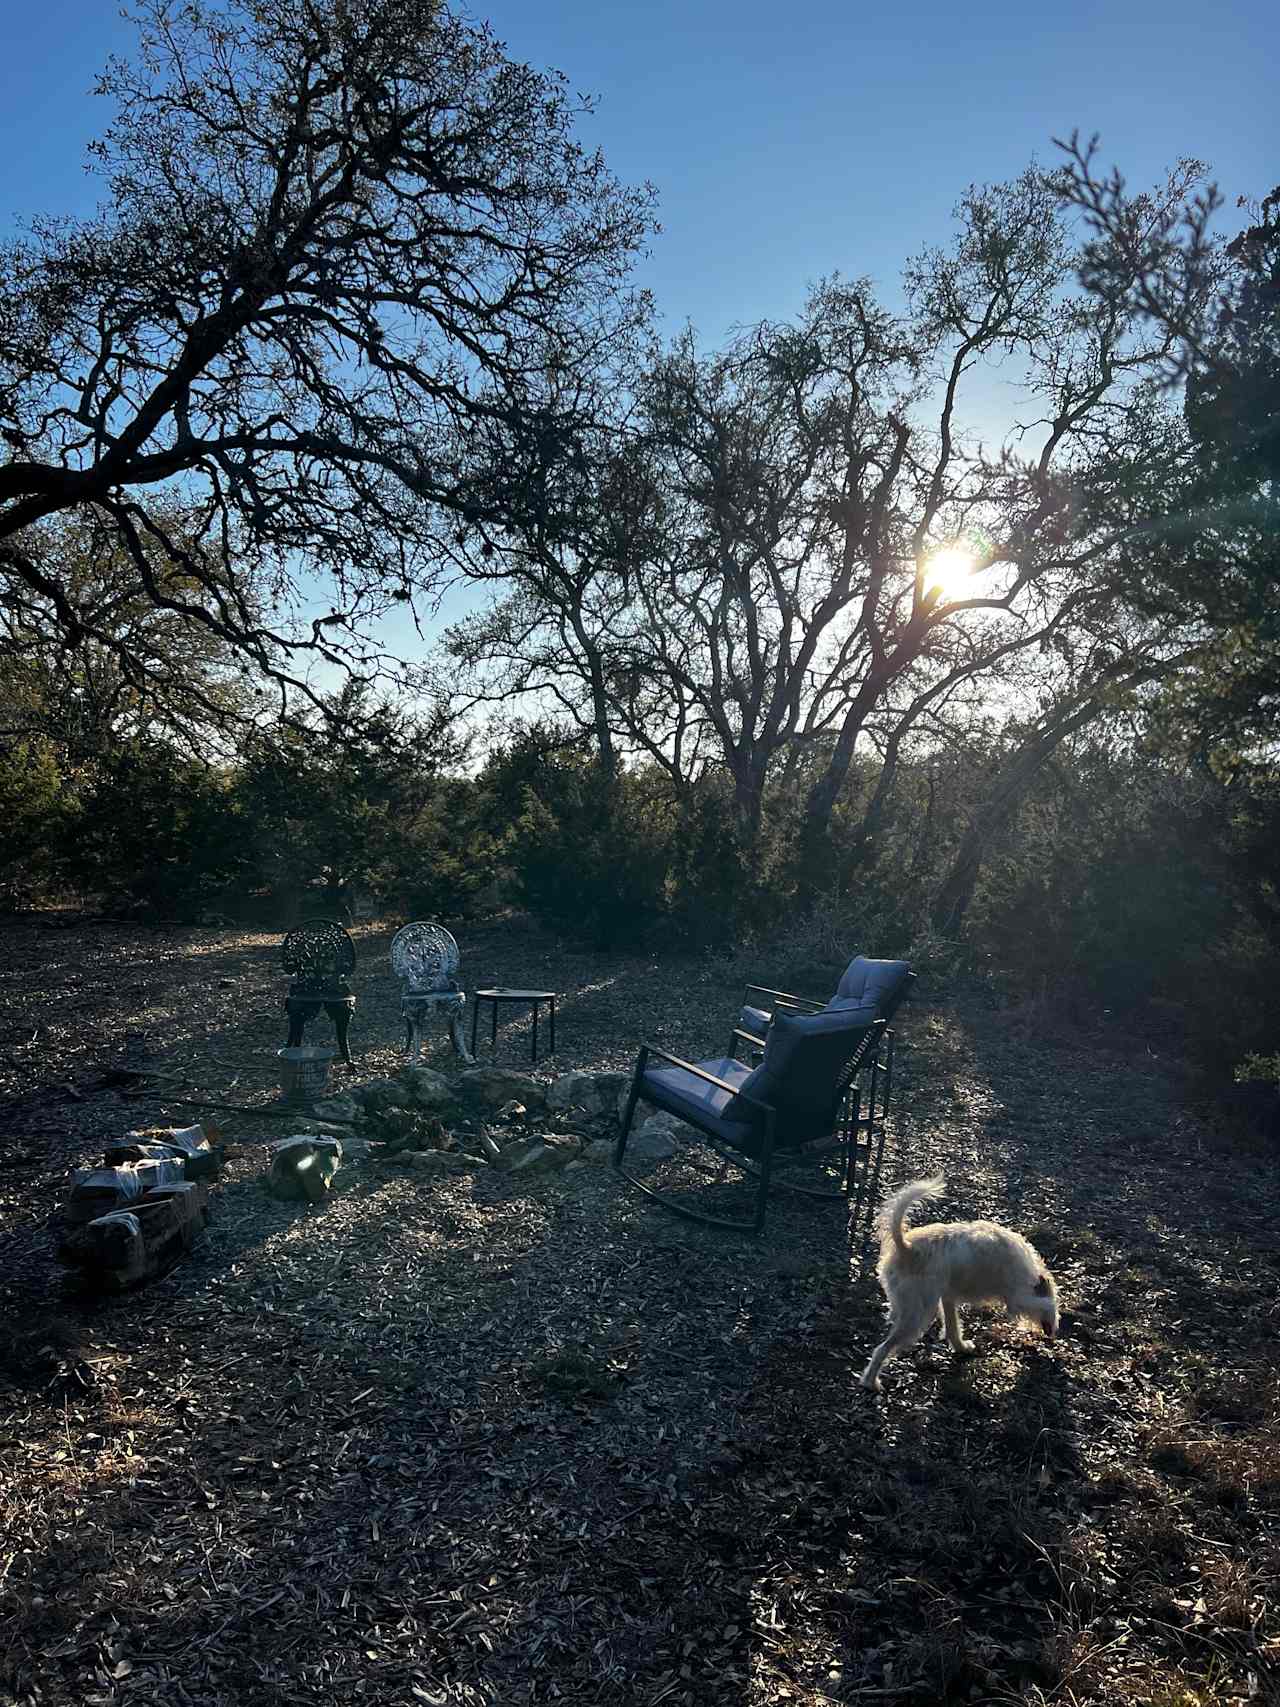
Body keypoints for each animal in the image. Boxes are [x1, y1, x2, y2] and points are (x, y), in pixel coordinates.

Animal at [863, 1181, 1064, 1392]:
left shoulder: (948, 1298)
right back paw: (870, 1381)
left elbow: (952, 1327)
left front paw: (961, 1347)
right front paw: (1053, 1316)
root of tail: (907, 1248)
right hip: (916, 1315)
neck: (1030, 1273)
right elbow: (1046, 1304)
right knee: (882, 1349)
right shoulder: (1017, 1298)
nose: (1052, 1332)